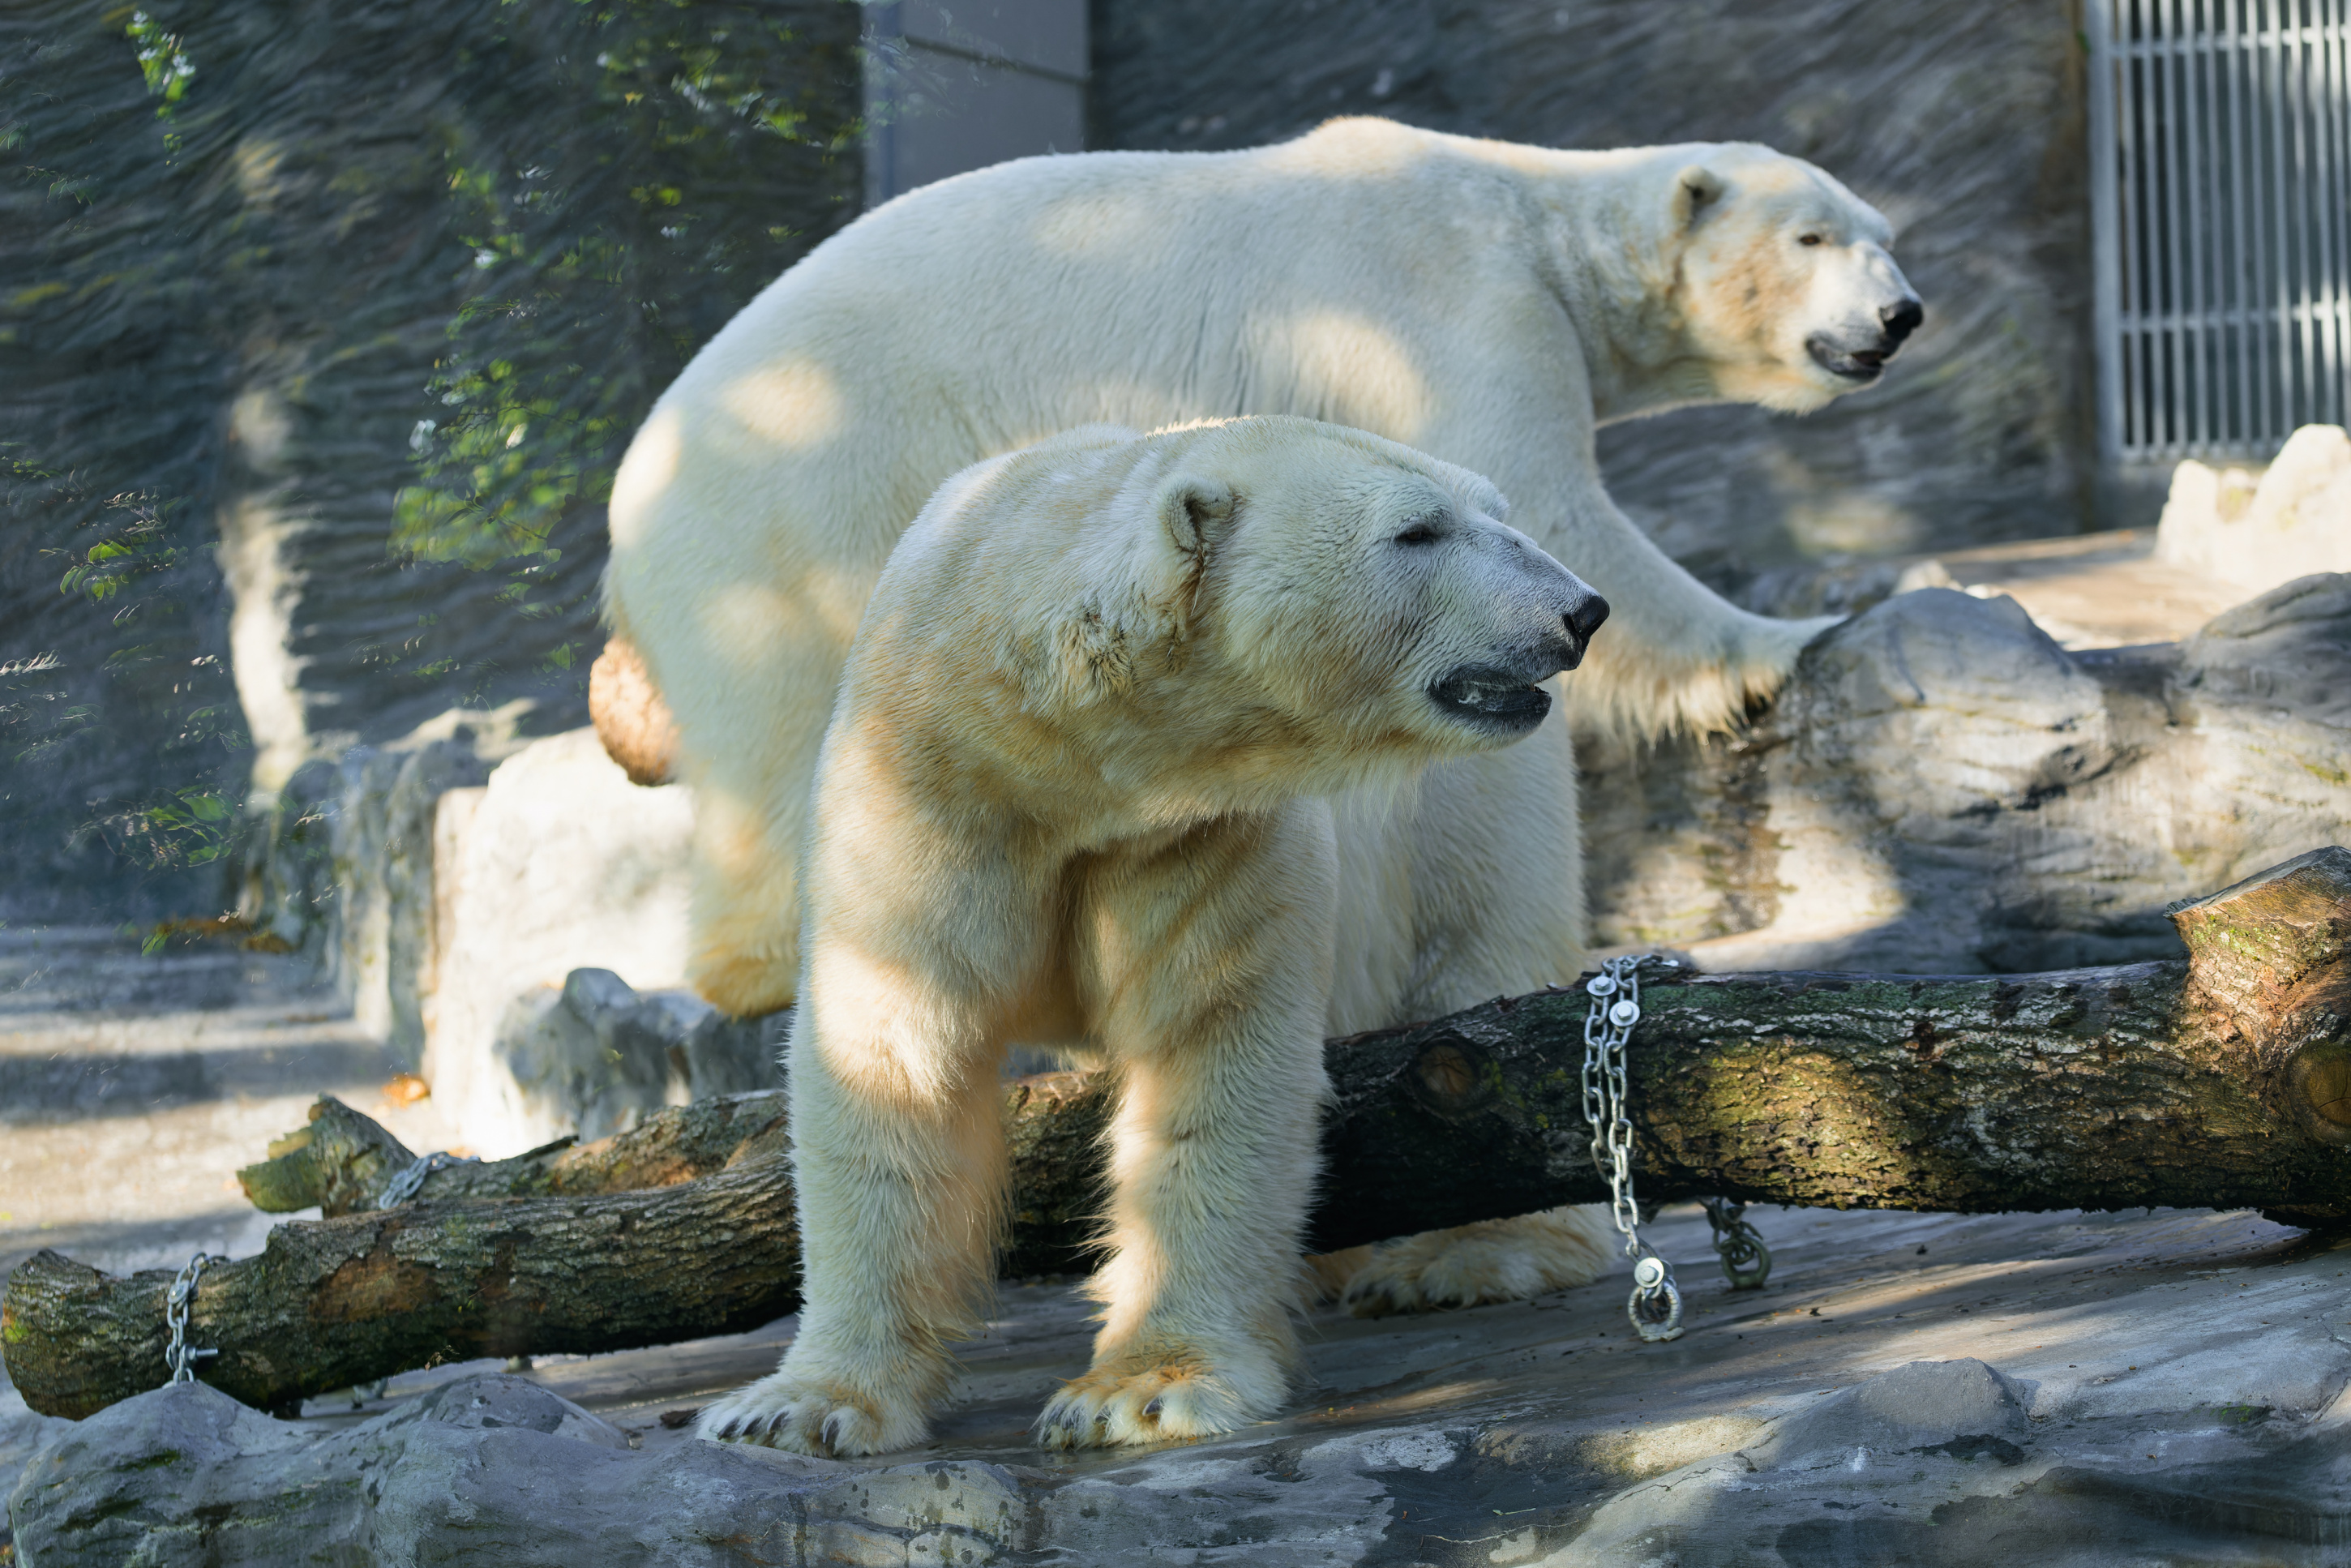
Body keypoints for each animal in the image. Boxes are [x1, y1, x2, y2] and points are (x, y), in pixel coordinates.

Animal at [597, 113, 1918, 1326]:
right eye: (1814, 234)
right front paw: (1796, 637)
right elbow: (1553, 506)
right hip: (798, 512)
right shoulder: (1443, 315)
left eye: (1882, 232)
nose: (1901, 314)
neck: (1529, 212)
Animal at [691, 421, 1617, 1457]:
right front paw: (798, 1405)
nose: (1581, 610)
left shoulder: (1198, 830)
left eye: (1496, 510)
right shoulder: (924, 787)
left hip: (1459, 803)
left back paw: (1470, 1256)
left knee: (1481, 951)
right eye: (1416, 530)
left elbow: (1209, 1054)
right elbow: (888, 1050)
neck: (1062, 758)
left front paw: (1140, 1390)